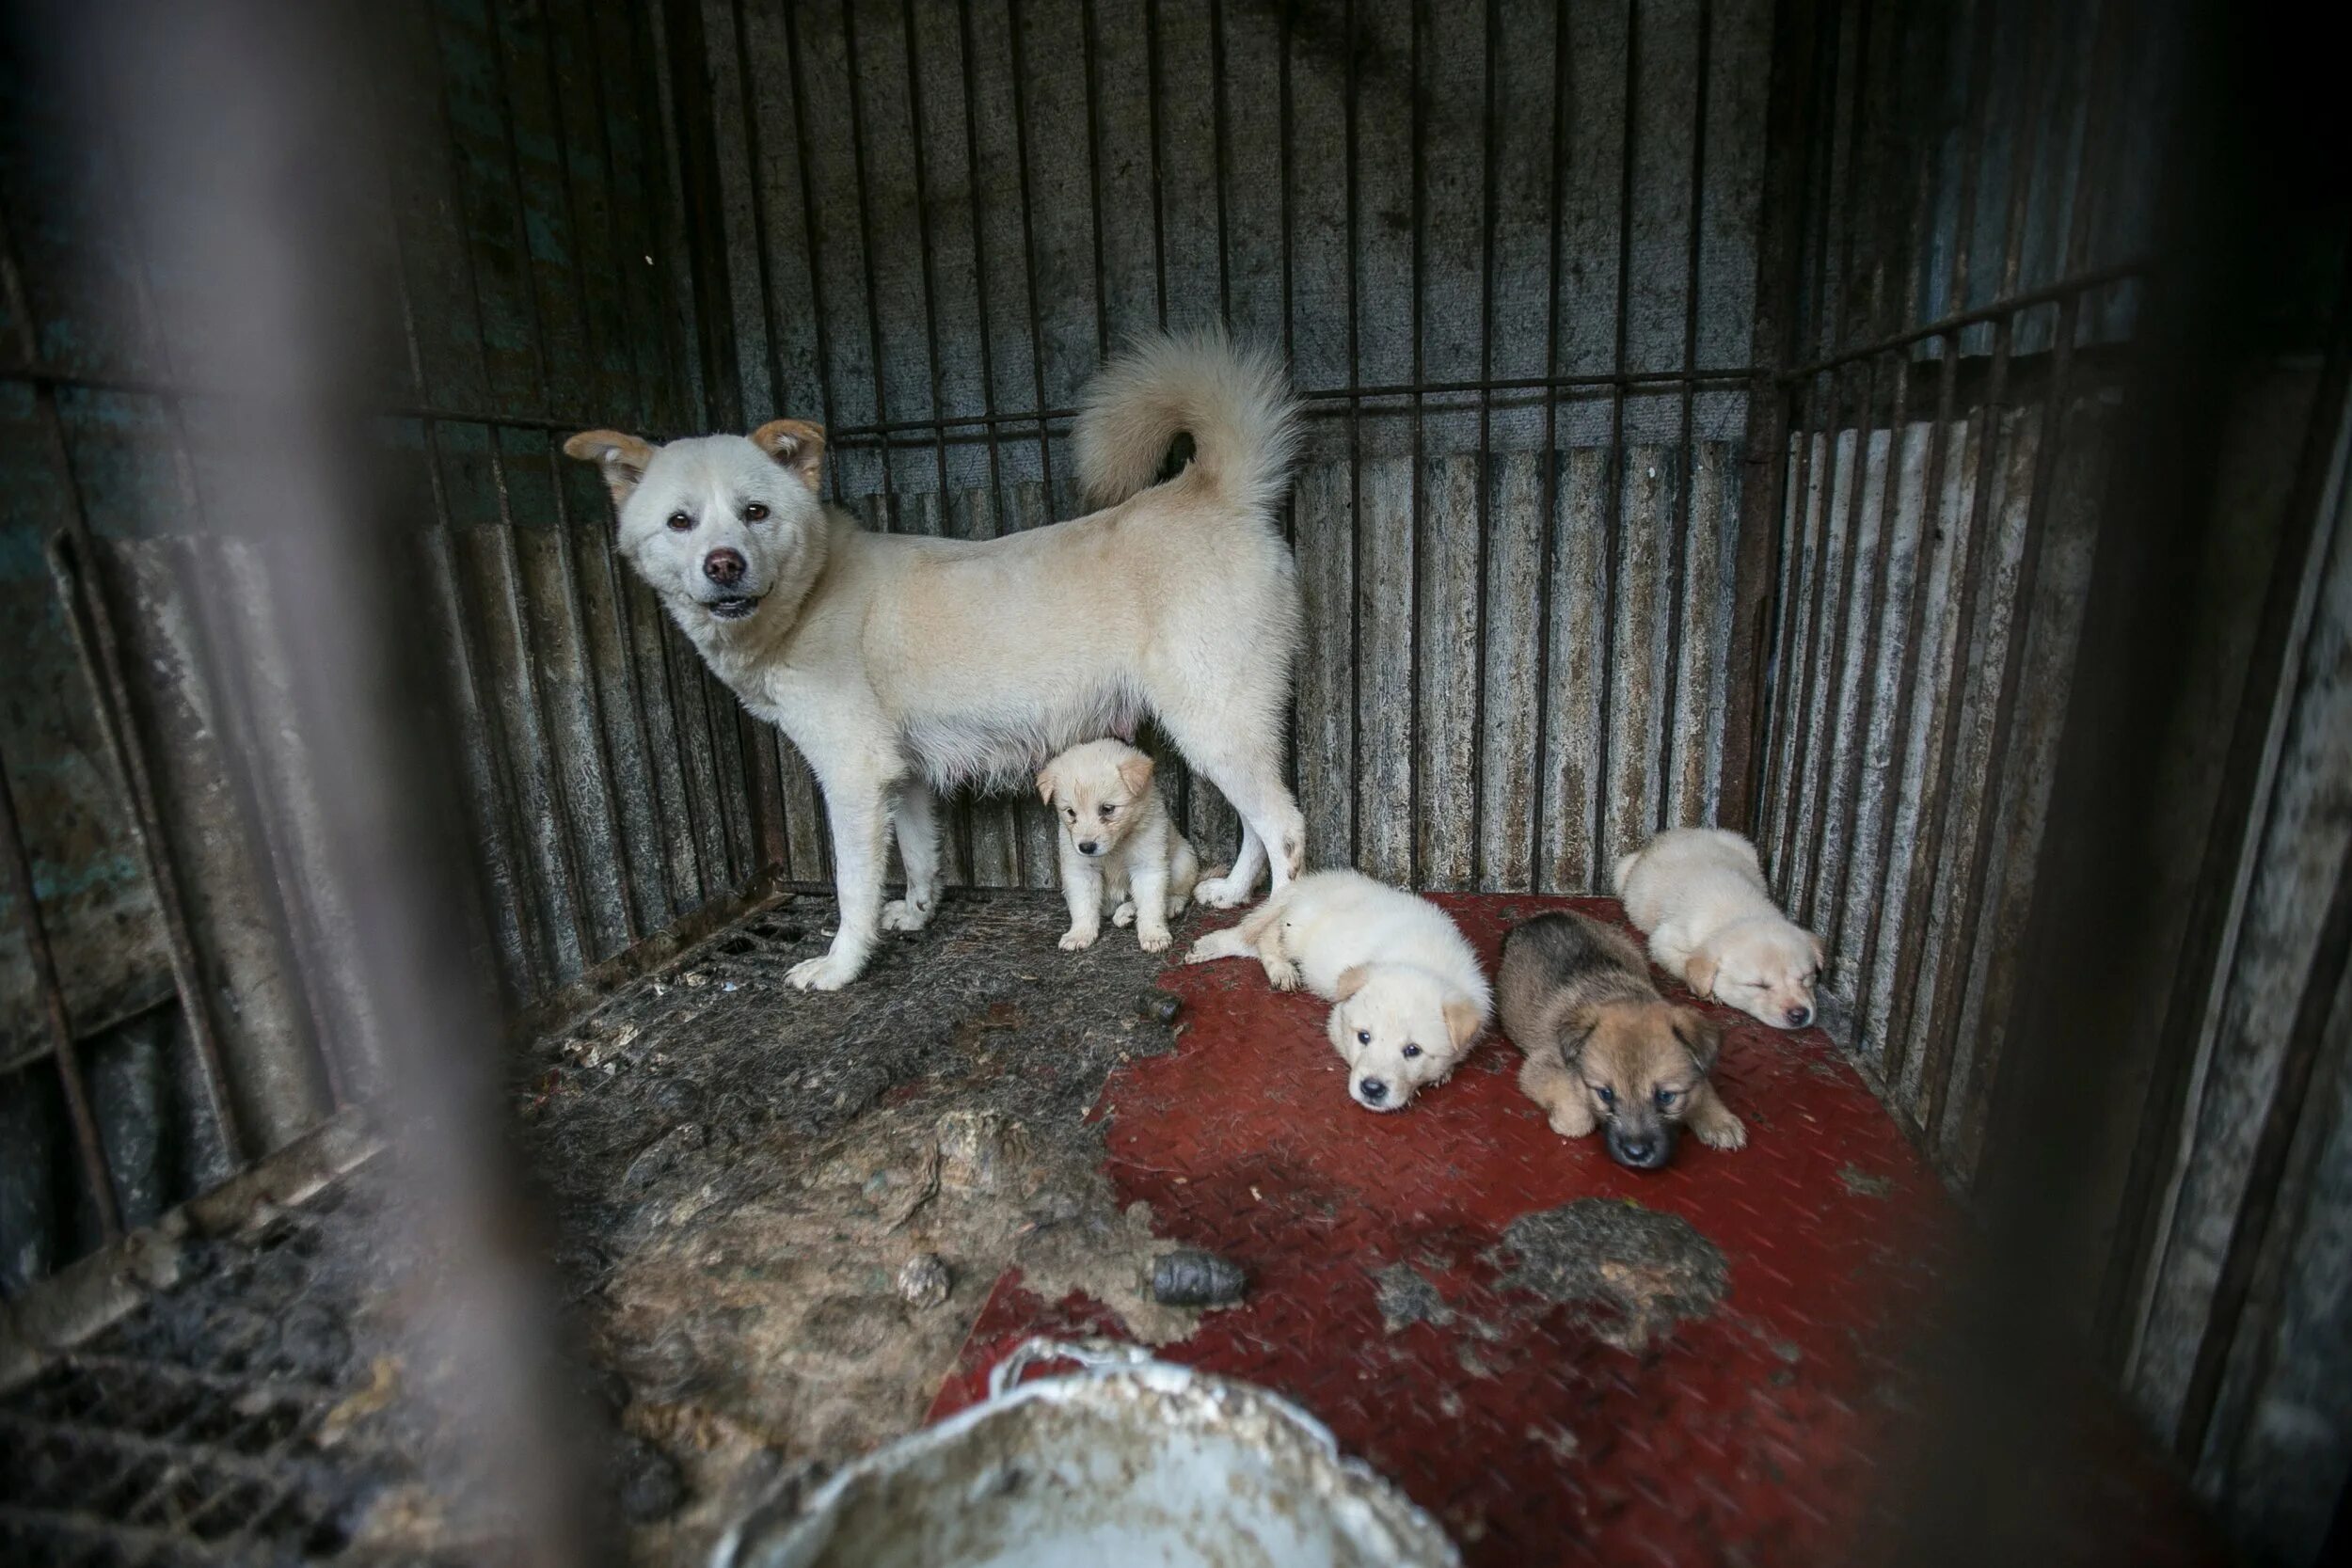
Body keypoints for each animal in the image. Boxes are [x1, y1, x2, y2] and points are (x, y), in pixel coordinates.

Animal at [1040, 737, 1204, 958]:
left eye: (1107, 809)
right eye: (1071, 812)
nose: (1086, 847)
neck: (1116, 847)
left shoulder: (1148, 866)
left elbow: (1151, 905)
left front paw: (1154, 935)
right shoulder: (1081, 870)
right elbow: (1083, 906)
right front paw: (1079, 934)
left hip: (1182, 861)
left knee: (1180, 890)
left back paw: (1168, 906)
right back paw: (1126, 912)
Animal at [1185, 864, 1496, 1109]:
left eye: (1413, 1050)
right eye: (1364, 1037)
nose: (1371, 1089)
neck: (1421, 960)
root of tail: (1307, 885)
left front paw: (1443, 1072)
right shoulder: (1337, 1019)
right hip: (1296, 930)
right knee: (1265, 937)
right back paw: (1279, 969)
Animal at [1496, 907, 1740, 1165]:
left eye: (1665, 1096)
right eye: (1606, 1094)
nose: (1636, 1153)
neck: (1623, 995)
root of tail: (1541, 916)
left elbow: (1703, 1087)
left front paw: (1720, 1120)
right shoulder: (1539, 1067)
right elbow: (1577, 1115)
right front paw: (1567, 1120)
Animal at [1609, 827, 1825, 1034]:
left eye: (1805, 977)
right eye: (1758, 985)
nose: (1799, 1014)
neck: (1741, 912)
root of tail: (1677, 832)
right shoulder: (1665, 939)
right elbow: (1683, 963)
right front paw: (1709, 992)